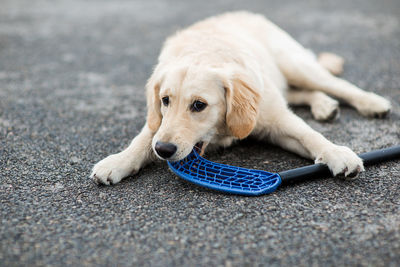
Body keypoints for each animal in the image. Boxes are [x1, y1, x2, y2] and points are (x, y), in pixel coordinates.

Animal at [90, 11, 390, 186]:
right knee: (299, 92)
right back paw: (324, 105)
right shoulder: (158, 123)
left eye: (198, 105)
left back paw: (372, 103)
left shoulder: (275, 118)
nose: (164, 150)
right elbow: (142, 139)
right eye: (165, 100)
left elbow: (310, 135)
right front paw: (117, 162)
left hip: (296, 65)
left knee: (339, 85)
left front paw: (338, 154)